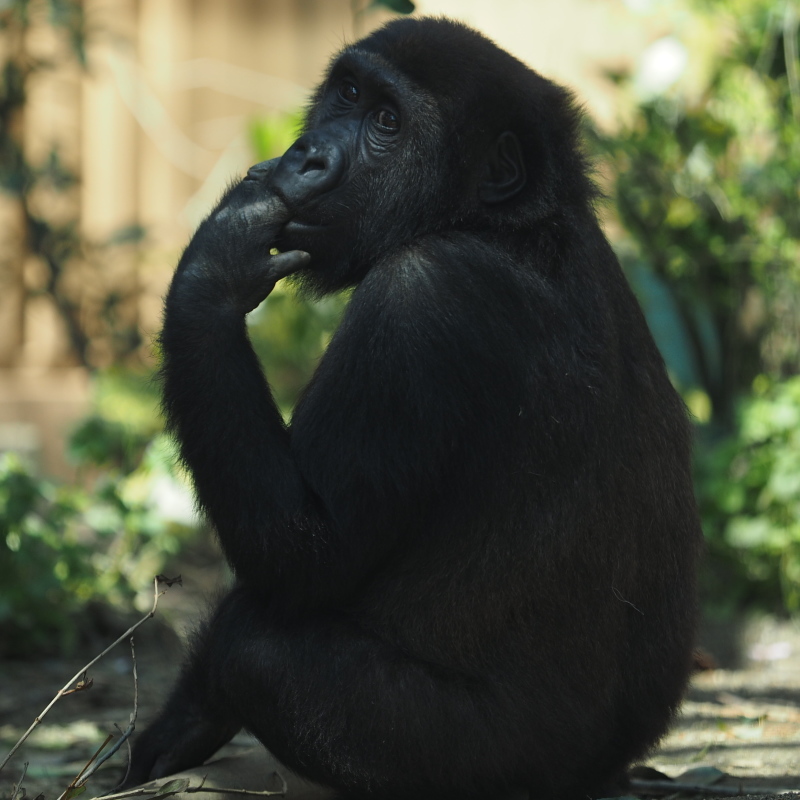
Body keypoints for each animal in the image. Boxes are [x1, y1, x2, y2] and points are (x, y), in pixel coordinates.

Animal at [123, 17, 700, 800]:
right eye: (348, 93)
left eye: (388, 123)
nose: (307, 155)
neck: (502, 222)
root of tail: (609, 771)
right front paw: (183, 719)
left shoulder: (415, 301)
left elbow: (305, 556)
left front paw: (213, 267)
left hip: (484, 766)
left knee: (259, 653)